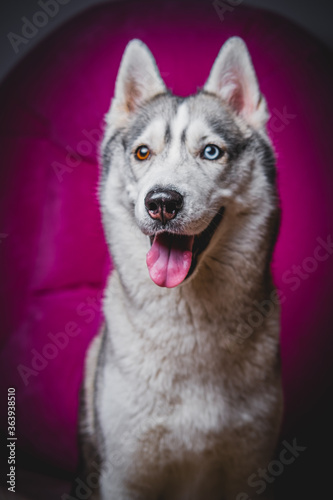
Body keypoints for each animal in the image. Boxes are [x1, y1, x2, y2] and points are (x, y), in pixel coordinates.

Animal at [76, 37, 282, 498]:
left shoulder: (248, 468)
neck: (190, 323)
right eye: (142, 152)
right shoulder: (125, 475)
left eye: (211, 152)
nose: (162, 202)